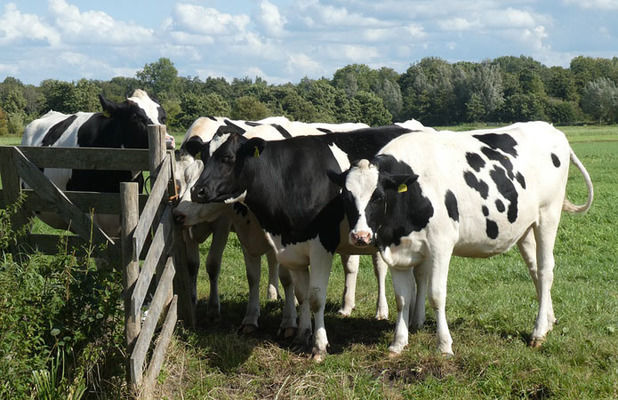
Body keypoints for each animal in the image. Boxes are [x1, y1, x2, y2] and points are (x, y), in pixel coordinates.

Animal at [190, 125, 416, 360]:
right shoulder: (292, 247)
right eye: (203, 157)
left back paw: (384, 313)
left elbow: (316, 297)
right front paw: (302, 335)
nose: (197, 191)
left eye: (228, 157)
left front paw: (319, 346)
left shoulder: (321, 247)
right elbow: (301, 294)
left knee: (386, 271)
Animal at [330, 122, 596, 356]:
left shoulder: (441, 244)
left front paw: (444, 345)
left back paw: (538, 332)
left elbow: (436, 294)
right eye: (346, 197)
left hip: (548, 216)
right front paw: (398, 343)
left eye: (378, 196)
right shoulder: (397, 249)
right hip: (526, 227)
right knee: (535, 271)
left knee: (545, 270)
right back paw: (549, 321)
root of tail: (551, 129)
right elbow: (402, 298)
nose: (360, 236)